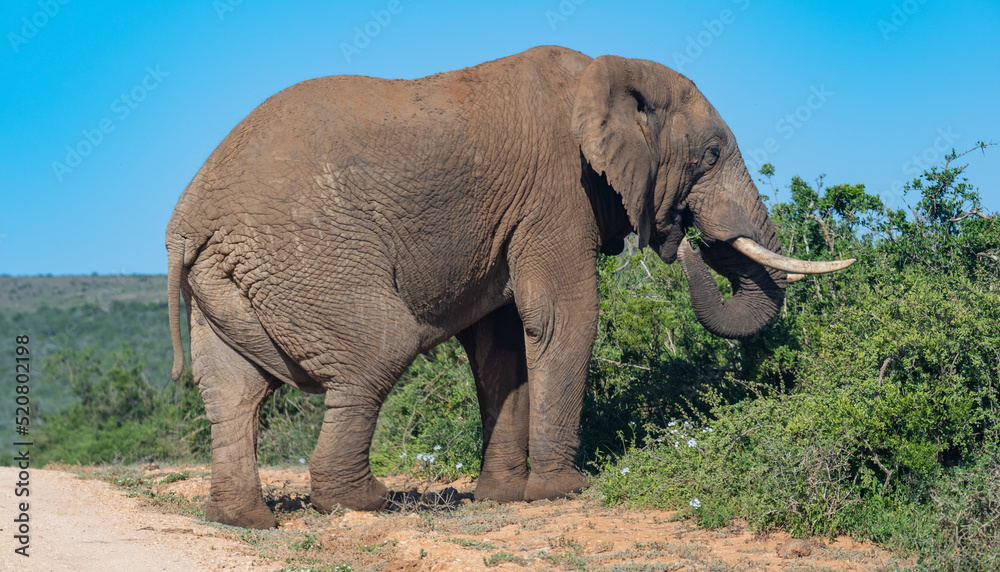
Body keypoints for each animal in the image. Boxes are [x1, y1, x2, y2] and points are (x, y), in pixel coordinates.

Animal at [166, 45, 853, 529]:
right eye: (710, 155)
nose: (688, 240)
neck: (606, 71)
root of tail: (187, 222)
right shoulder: (558, 191)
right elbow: (564, 316)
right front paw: (565, 491)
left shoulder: (513, 216)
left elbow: (501, 344)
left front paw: (502, 497)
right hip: (307, 258)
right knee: (378, 350)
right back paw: (365, 502)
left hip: (223, 283)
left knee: (233, 392)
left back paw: (244, 520)